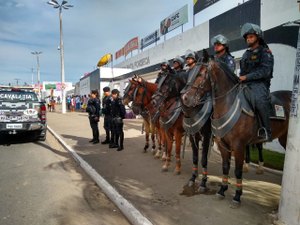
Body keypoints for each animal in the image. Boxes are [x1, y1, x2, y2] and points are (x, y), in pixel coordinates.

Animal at [180, 60, 290, 205]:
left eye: (200, 74)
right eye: (188, 76)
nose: (185, 98)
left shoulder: (236, 145)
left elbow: (236, 170)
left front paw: (237, 196)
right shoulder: (218, 143)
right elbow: (224, 166)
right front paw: (221, 190)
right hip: (283, 138)